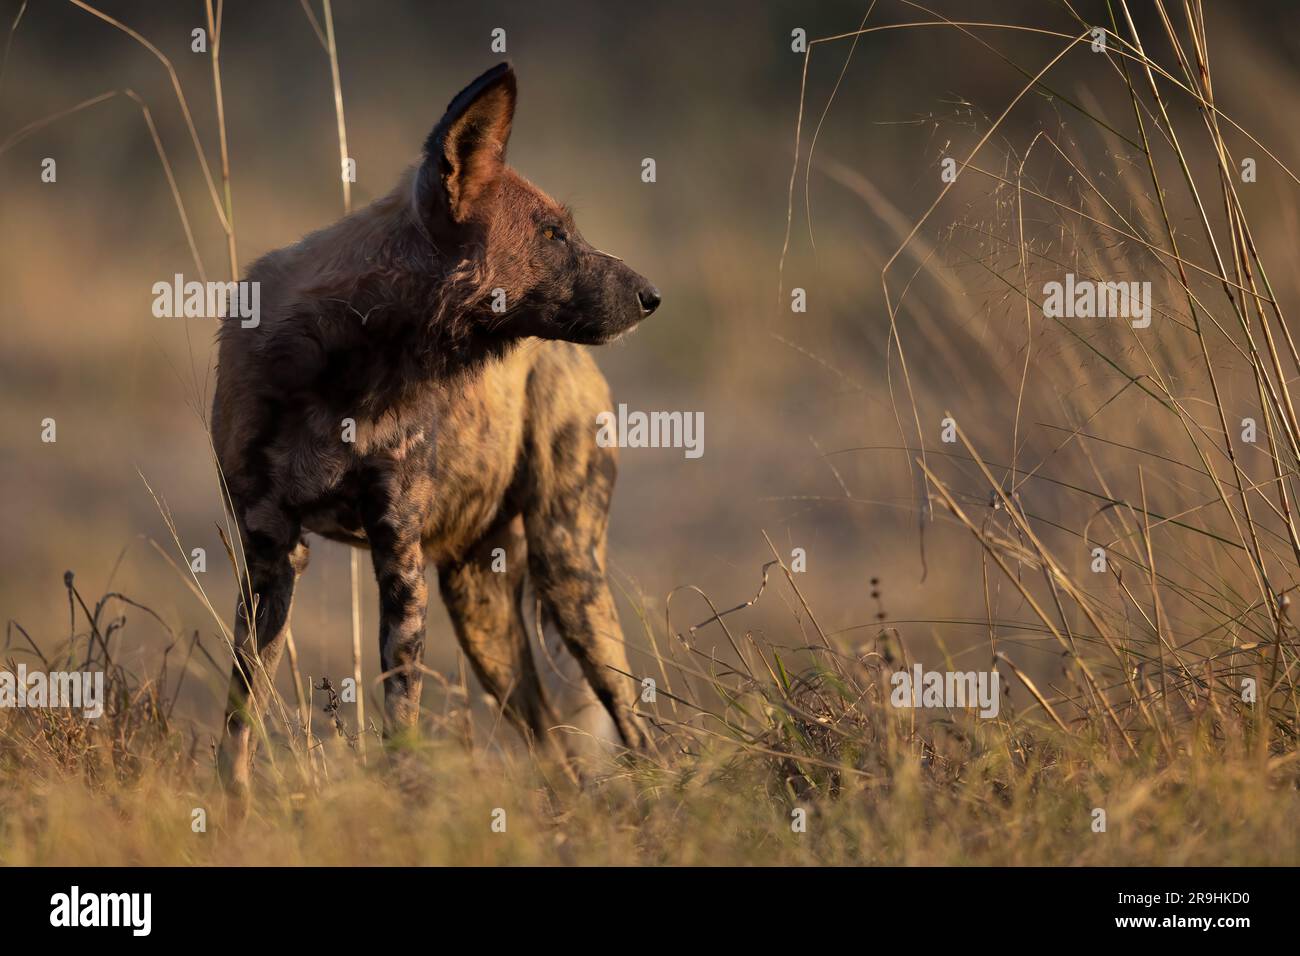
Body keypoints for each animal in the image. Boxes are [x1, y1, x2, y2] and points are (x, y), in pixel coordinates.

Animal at [215, 61, 660, 790]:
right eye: (553, 233)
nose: (653, 296)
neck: (346, 364)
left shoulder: (400, 559)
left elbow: (401, 733)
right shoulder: (271, 556)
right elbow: (237, 732)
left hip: (571, 579)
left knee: (643, 735)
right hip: (484, 612)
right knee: (557, 752)